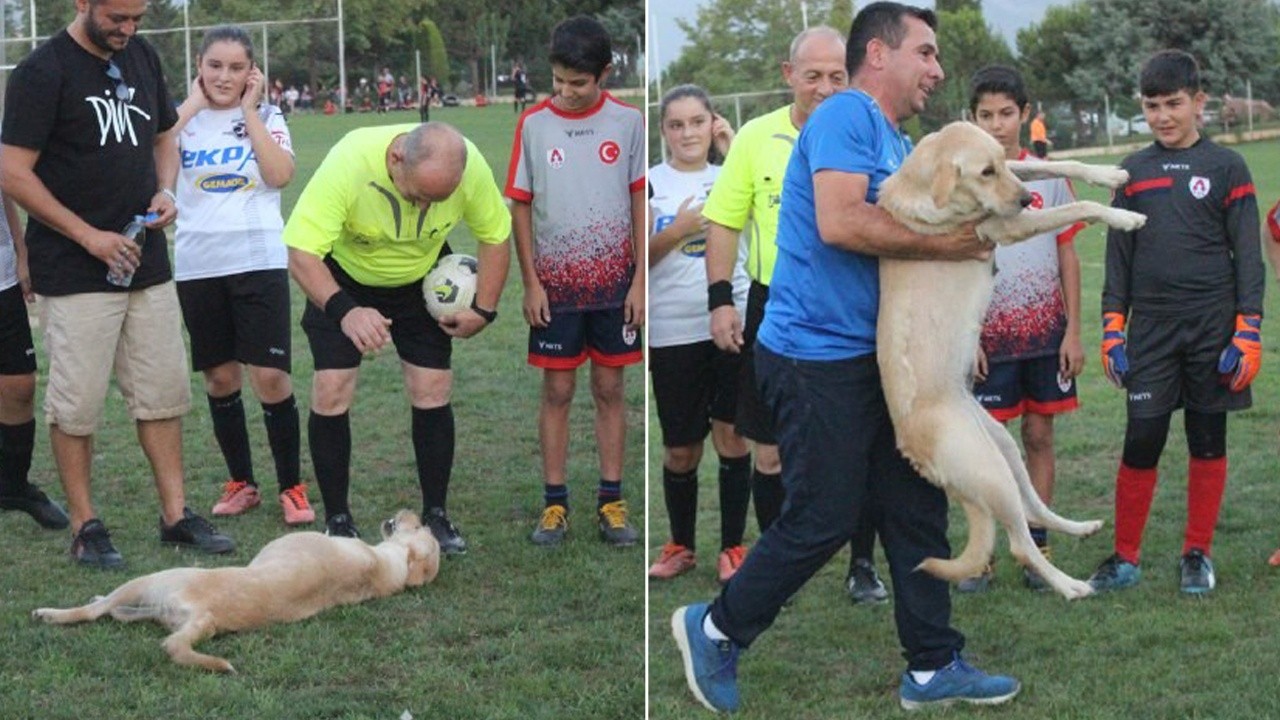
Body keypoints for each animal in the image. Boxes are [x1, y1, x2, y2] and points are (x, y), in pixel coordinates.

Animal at [32, 507, 440, 671]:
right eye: (421, 526)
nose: (412, 511)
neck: (383, 566)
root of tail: (207, 616)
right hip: (163, 607)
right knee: (123, 614)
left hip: (157, 577)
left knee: (98, 611)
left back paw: (53, 613)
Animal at [875, 120, 1146, 597]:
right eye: (984, 173)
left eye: (998, 163)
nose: (1023, 199)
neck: (924, 181)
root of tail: (912, 450)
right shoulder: (1003, 226)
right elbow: (1080, 206)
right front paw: (1124, 217)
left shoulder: (1018, 182)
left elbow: (1055, 165)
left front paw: (1109, 174)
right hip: (988, 471)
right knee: (1020, 543)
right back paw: (1070, 587)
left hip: (1000, 446)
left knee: (1033, 507)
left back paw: (1080, 528)